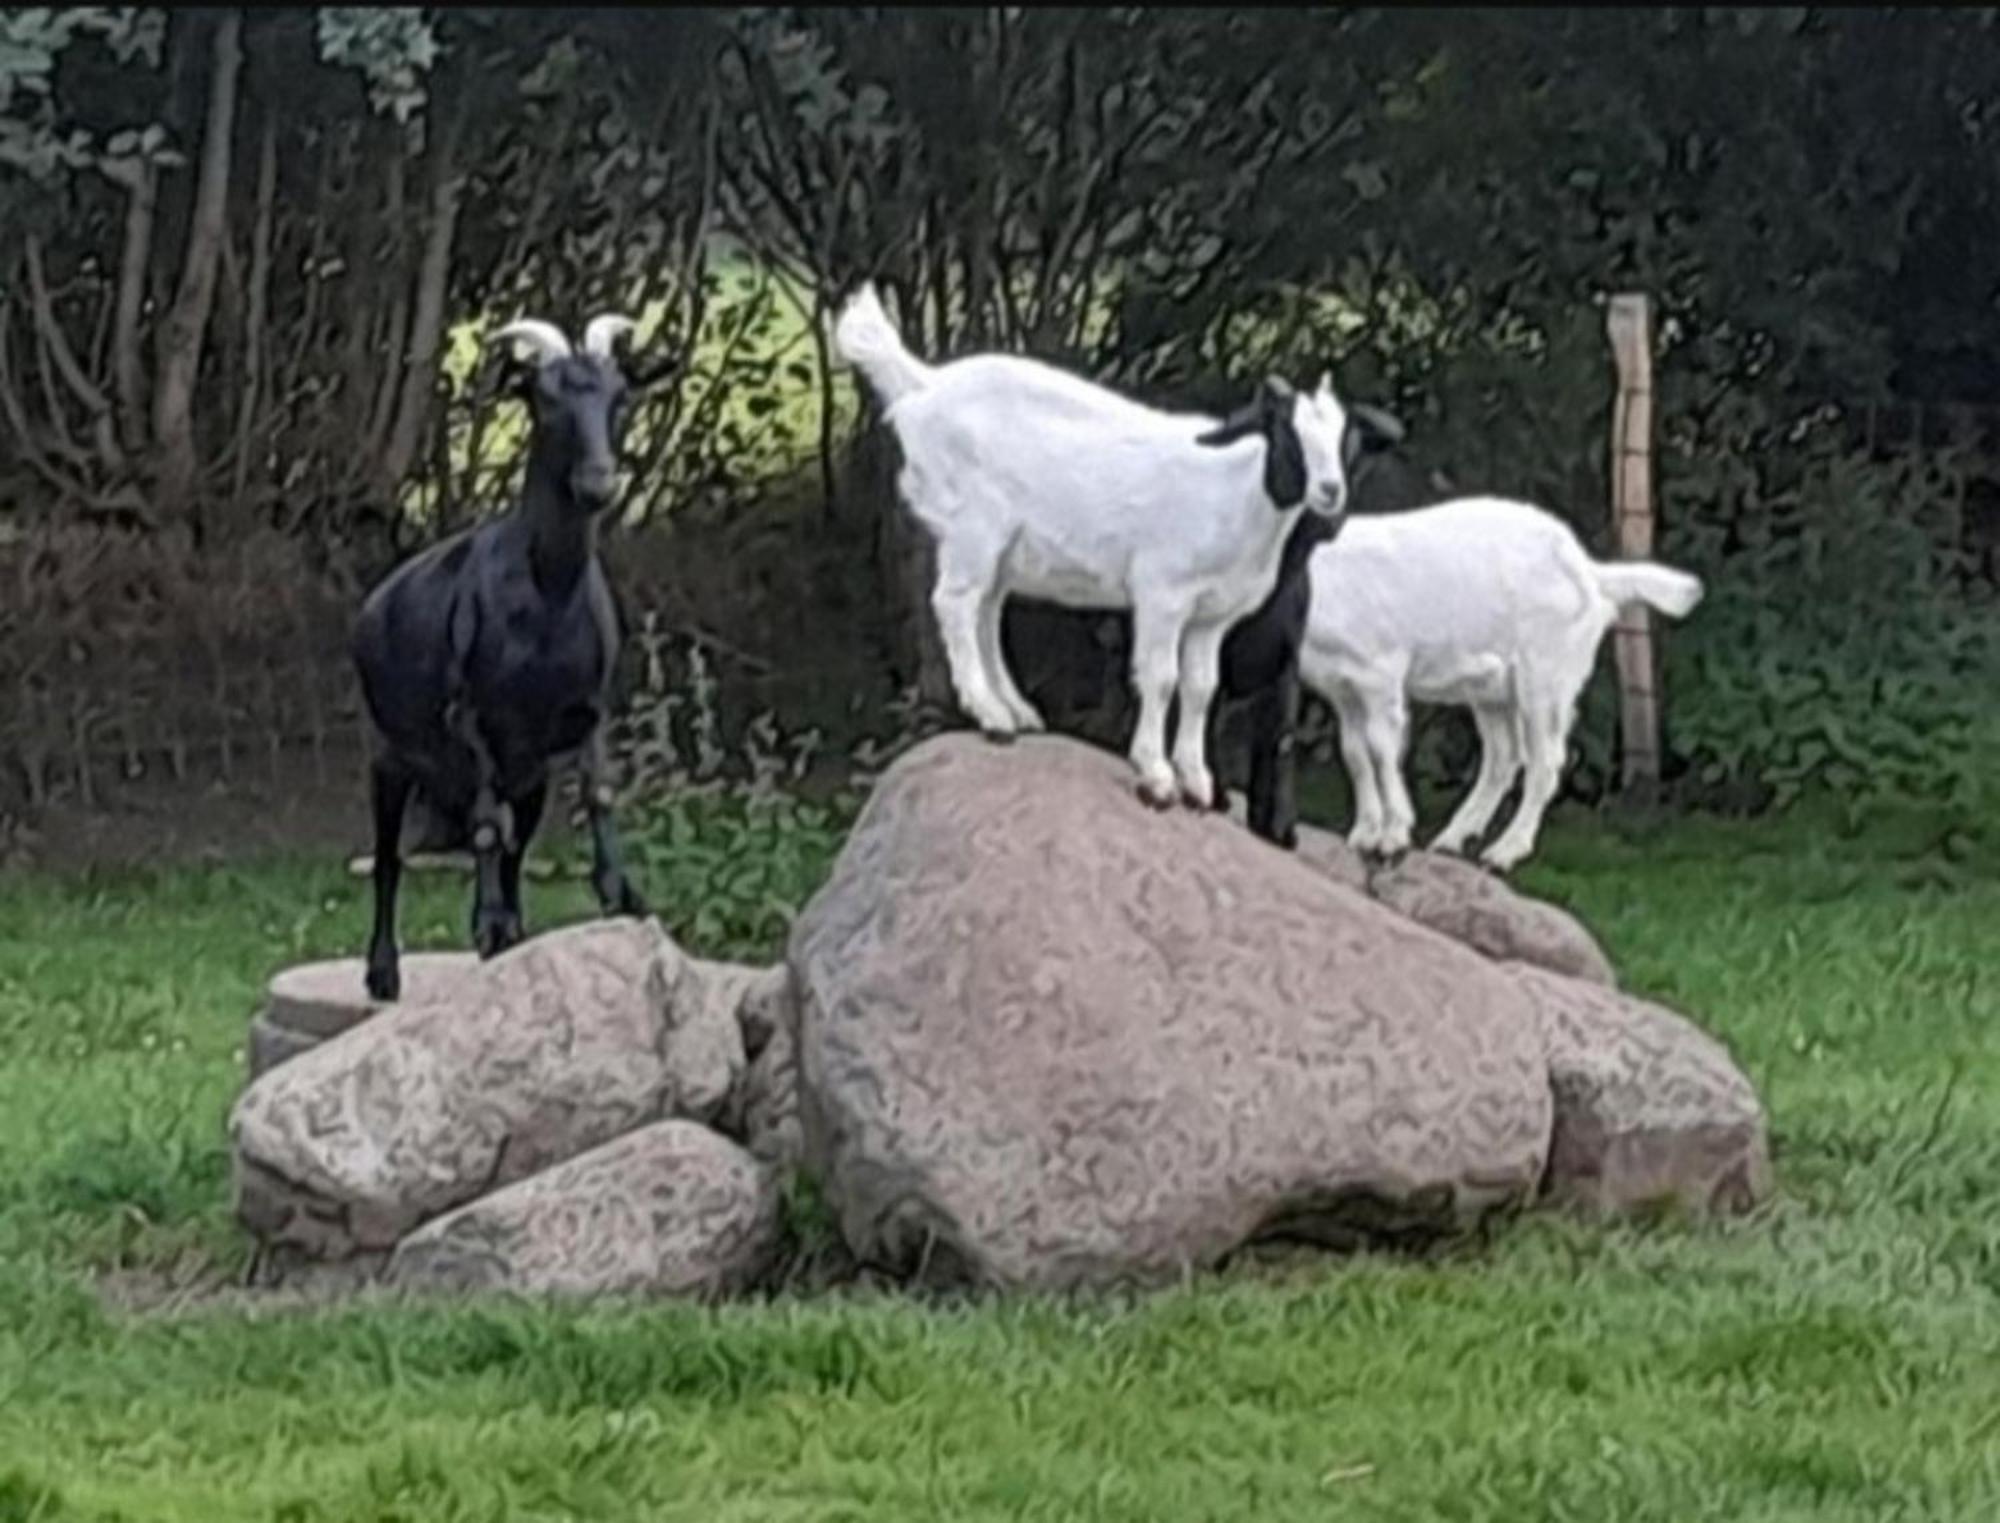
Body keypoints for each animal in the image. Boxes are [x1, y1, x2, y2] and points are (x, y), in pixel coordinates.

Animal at [352, 307, 672, 995]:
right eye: (544, 399)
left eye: (620, 396)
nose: (597, 483)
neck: (546, 595)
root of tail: (373, 606)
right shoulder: (471, 720)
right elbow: (482, 826)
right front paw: (487, 923)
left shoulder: (587, 710)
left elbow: (597, 793)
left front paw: (620, 893)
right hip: (391, 756)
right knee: (392, 857)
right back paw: (384, 971)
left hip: (528, 776)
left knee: (515, 843)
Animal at [828, 281, 1360, 807]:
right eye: (1287, 435)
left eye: (1342, 440)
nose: (1331, 491)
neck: (1238, 491)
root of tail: (924, 384)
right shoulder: (1162, 593)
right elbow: (1160, 679)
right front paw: (1156, 775)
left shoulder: (1212, 615)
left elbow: (1201, 688)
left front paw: (1197, 781)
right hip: (973, 527)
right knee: (955, 603)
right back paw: (992, 717)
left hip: (1001, 549)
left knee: (987, 611)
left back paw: (1017, 711)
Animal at [1200, 397, 1408, 843]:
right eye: (1292, 446)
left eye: (1352, 456)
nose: (1328, 514)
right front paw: (1215, 794)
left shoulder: (1286, 663)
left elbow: (1280, 736)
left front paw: (1278, 826)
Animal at [1296, 495, 1704, 867]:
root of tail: (1590, 573)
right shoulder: (1343, 689)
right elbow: (1354, 754)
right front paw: (1363, 834)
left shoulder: (1381, 674)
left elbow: (1381, 751)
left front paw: (1393, 837)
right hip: (1492, 687)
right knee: (1503, 755)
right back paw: (1451, 840)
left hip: (1546, 673)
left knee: (1546, 760)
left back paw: (1503, 852)